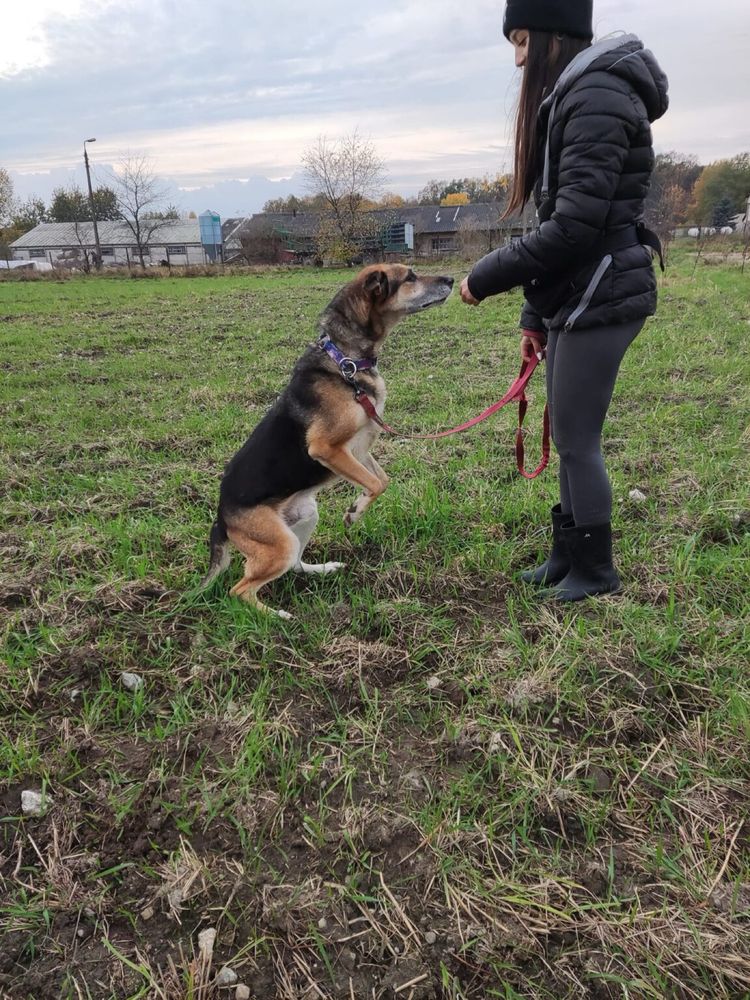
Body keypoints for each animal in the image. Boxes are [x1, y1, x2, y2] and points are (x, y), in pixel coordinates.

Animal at [203, 262, 456, 612]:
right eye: (410, 277)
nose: (453, 279)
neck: (346, 361)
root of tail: (221, 518)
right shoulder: (326, 448)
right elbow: (376, 483)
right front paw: (355, 512)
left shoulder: (358, 448)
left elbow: (382, 480)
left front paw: (356, 507)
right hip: (279, 543)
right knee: (240, 590)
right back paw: (277, 616)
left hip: (306, 516)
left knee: (295, 564)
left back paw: (323, 569)